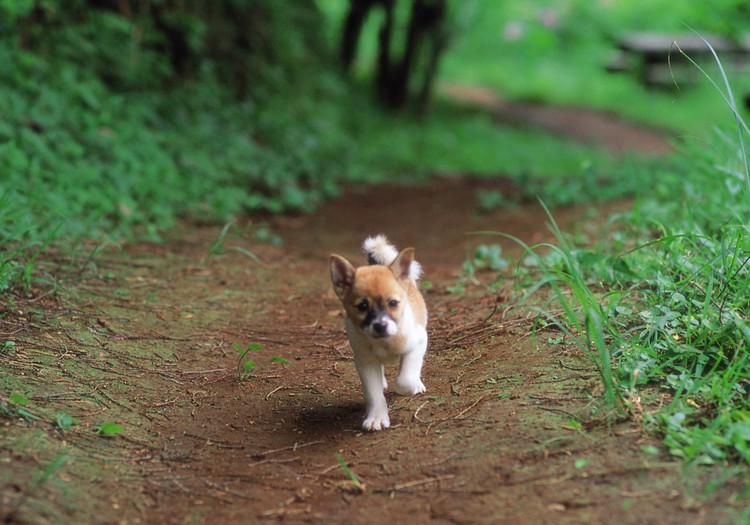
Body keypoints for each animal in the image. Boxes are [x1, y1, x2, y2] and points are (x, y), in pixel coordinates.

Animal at [330, 234, 428, 430]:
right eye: (362, 306)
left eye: (393, 303)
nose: (380, 326)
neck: (384, 343)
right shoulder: (365, 362)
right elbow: (373, 394)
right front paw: (376, 417)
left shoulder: (419, 342)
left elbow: (405, 380)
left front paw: (413, 385)